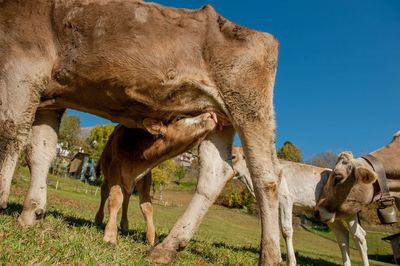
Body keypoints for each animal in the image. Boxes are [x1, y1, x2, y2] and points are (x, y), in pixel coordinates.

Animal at [94, 112, 217, 245]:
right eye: (180, 118)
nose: (211, 114)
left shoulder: (145, 176)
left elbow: (147, 207)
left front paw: (152, 237)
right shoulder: (114, 170)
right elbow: (115, 199)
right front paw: (110, 235)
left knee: (126, 199)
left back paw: (125, 225)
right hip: (107, 174)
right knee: (104, 193)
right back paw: (98, 219)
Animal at [233, 147, 370, 264]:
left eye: (233, 156)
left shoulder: (285, 198)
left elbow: (286, 229)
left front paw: (291, 261)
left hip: (350, 213)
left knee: (359, 236)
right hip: (330, 215)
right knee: (343, 235)